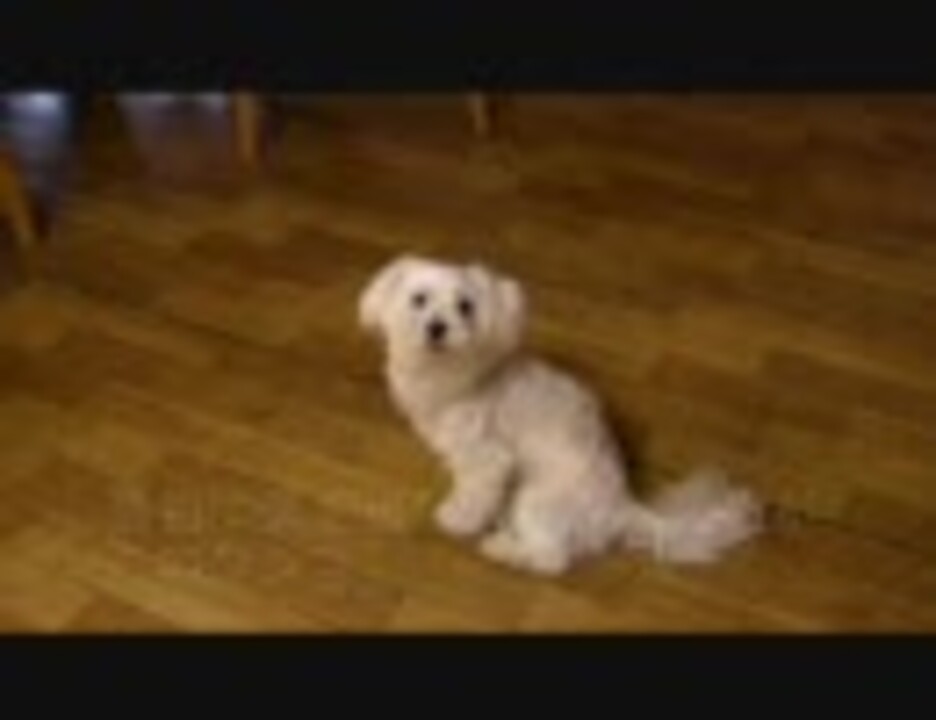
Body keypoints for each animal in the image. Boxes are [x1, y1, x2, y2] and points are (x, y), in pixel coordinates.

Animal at [358, 254, 763, 576]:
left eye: (465, 306)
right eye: (419, 300)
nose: (437, 327)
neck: (453, 374)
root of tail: (620, 507)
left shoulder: (488, 458)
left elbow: (475, 491)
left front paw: (458, 519)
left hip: (537, 499)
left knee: (551, 560)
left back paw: (505, 550)